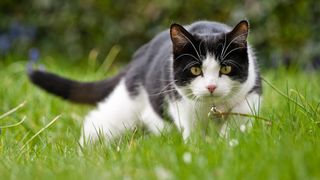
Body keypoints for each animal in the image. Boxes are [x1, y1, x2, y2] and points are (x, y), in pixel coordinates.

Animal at [28, 19, 262, 144]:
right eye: (195, 69)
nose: (211, 86)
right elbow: (193, 131)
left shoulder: (252, 91)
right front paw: (199, 147)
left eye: (226, 68)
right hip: (127, 103)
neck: (212, 107)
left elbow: (240, 116)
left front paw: (229, 140)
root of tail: (139, 56)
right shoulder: (181, 104)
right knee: (98, 120)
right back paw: (85, 150)